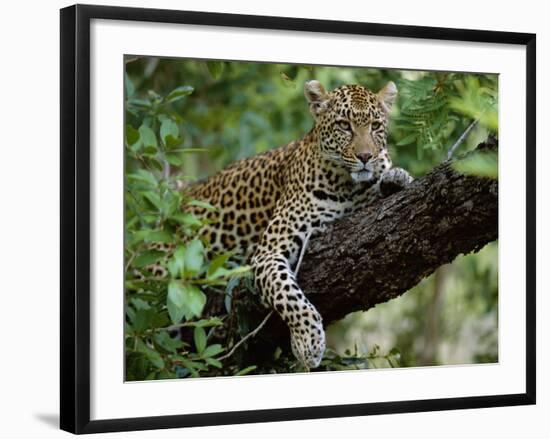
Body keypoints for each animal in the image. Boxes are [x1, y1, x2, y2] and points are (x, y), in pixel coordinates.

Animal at [149, 81, 412, 370]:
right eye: (344, 125)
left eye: (376, 126)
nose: (366, 156)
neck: (348, 186)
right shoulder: (268, 252)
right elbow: (289, 296)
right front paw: (308, 342)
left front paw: (396, 178)